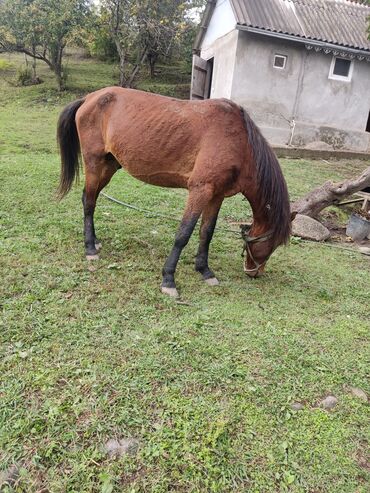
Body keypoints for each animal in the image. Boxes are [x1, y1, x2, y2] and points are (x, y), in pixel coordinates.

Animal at [56, 85, 292, 296]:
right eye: (273, 244)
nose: (254, 272)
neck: (238, 142)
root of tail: (89, 98)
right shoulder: (200, 190)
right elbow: (183, 234)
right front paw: (168, 279)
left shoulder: (216, 195)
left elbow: (207, 232)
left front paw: (205, 271)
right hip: (94, 164)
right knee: (89, 202)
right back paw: (90, 248)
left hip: (109, 166)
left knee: (91, 198)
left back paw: (94, 241)